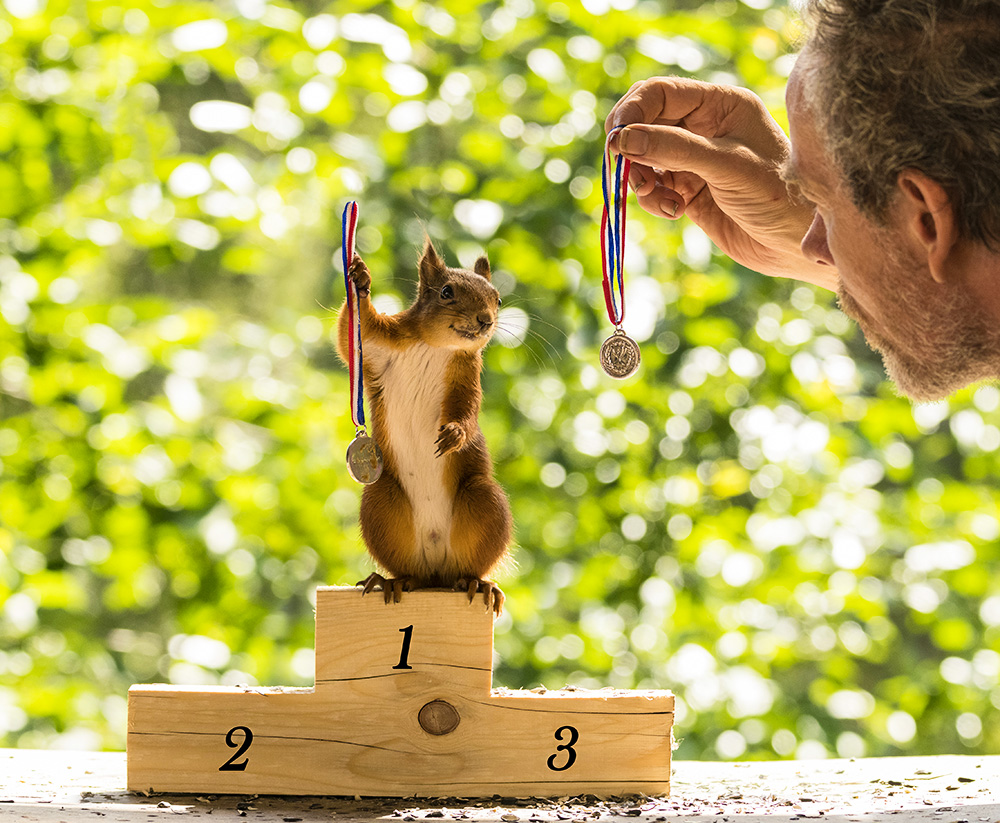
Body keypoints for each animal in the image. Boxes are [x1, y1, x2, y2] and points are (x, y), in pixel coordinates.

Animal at [338, 238, 516, 612]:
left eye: (498, 299)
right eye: (446, 292)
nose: (486, 320)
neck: (435, 345)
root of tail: (437, 569)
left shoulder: (466, 377)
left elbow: (467, 410)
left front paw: (455, 434)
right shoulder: (376, 345)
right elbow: (350, 336)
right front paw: (360, 280)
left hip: (484, 500)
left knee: (468, 568)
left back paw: (478, 583)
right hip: (381, 503)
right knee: (412, 574)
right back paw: (394, 580)